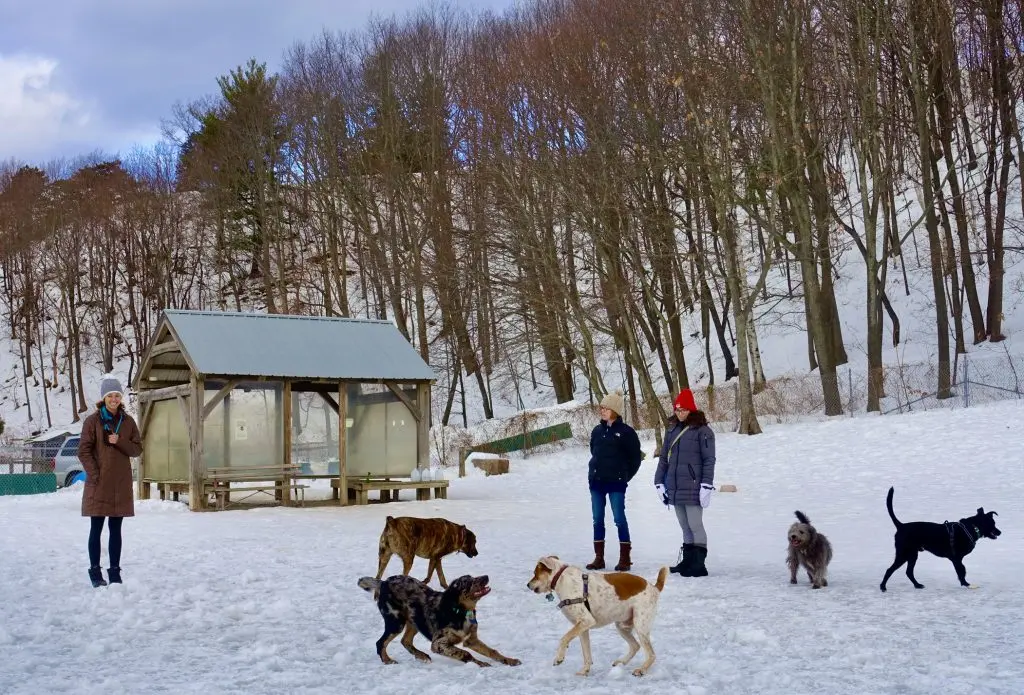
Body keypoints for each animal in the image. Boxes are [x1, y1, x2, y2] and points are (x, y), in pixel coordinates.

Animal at [358, 573, 520, 667]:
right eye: (467, 582)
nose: (486, 576)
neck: (460, 610)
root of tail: (383, 582)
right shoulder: (439, 643)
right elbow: (464, 653)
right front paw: (481, 664)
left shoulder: (471, 640)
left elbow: (492, 651)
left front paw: (509, 660)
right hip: (396, 621)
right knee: (381, 642)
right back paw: (388, 660)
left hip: (414, 620)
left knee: (405, 641)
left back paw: (421, 655)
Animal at [528, 556, 671, 675]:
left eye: (535, 574)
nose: (528, 585)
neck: (560, 578)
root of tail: (654, 587)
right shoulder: (582, 628)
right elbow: (586, 653)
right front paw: (584, 671)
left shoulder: (586, 621)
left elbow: (564, 638)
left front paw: (559, 657)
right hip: (622, 626)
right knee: (635, 646)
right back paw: (622, 662)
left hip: (640, 626)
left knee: (651, 654)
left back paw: (641, 670)